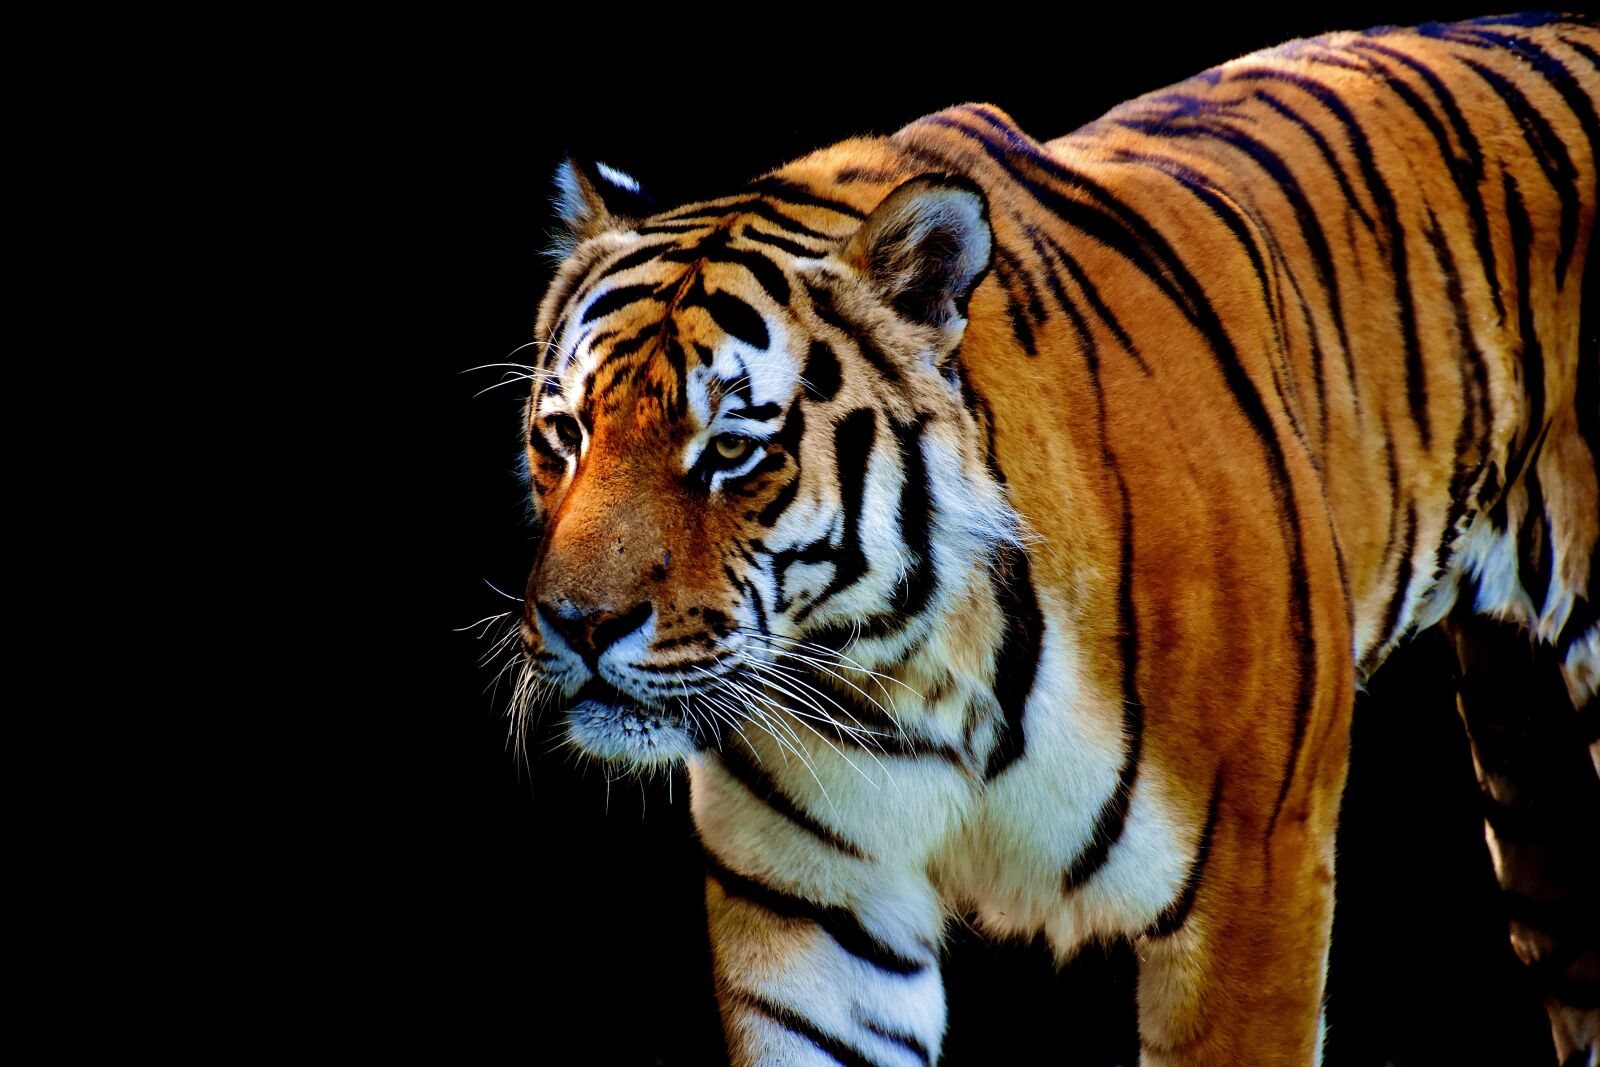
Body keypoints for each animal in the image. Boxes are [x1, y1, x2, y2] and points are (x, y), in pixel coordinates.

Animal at [508, 13, 1600, 1065]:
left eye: (732, 449)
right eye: (564, 435)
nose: (580, 624)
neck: (898, 669)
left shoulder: (1256, 877)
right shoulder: (814, 913)